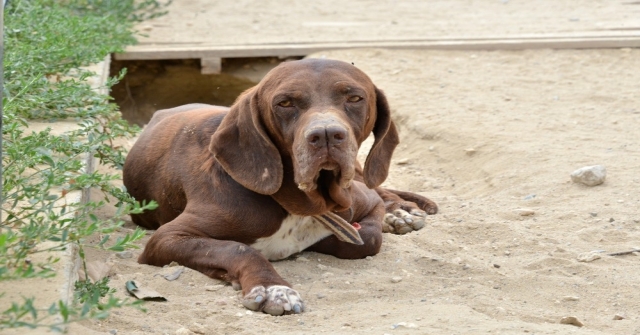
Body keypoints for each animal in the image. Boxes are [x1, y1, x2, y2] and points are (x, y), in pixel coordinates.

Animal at [122, 58, 438, 318]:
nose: (326, 134)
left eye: (355, 98)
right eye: (285, 103)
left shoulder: (363, 203)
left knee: (379, 189)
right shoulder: (168, 237)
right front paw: (272, 288)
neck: (300, 202)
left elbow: (368, 238)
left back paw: (400, 212)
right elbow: (238, 249)